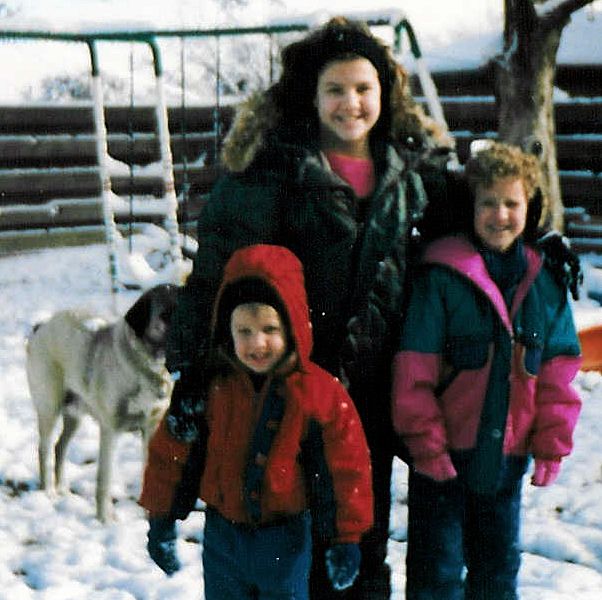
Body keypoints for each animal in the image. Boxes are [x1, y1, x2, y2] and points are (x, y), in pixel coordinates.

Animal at [27, 284, 177, 524]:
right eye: (165, 315)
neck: (146, 366)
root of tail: (41, 327)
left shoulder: (151, 429)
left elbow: (149, 474)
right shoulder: (110, 430)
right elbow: (104, 479)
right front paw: (104, 520)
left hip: (74, 416)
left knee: (60, 447)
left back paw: (62, 490)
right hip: (49, 409)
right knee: (44, 448)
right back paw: (48, 492)